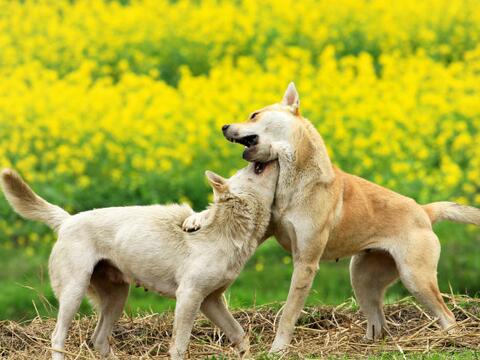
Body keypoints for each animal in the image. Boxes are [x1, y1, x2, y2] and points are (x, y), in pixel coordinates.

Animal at [0, 162, 280, 358]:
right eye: (256, 168)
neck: (225, 230)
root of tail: (67, 220)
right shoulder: (189, 296)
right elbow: (179, 346)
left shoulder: (211, 300)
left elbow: (239, 335)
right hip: (73, 292)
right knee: (57, 338)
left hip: (116, 297)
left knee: (98, 339)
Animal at [186, 83, 480, 352]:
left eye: (254, 115)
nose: (224, 126)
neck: (294, 180)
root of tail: (424, 211)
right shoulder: (267, 227)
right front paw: (196, 219)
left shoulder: (305, 262)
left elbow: (289, 313)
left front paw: (278, 350)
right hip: (363, 279)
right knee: (378, 323)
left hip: (416, 278)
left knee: (447, 316)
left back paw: (451, 341)